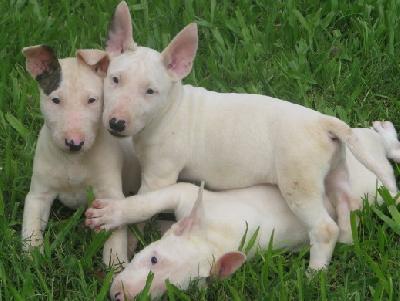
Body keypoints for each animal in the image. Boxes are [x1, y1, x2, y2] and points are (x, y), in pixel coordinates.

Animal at [21, 44, 141, 264]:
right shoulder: (38, 195)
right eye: (56, 100)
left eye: (92, 100)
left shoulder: (110, 194)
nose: (74, 143)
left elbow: (115, 230)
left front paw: (116, 264)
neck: (74, 160)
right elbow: (31, 224)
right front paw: (33, 256)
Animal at [86, 121, 400, 298]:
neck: (215, 237)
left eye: (171, 289)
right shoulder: (184, 195)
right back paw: (385, 131)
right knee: (382, 148)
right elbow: (146, 203)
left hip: (375, 189)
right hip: (356, 146)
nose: (120, 296)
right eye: (153, 259)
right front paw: (111, 216)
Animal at [99, 1, 396, 270]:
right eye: (114, 79)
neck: (170, 110)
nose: (116, 123)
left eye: (150, 91)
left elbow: (140, 204)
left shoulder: (159, 176)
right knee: (348, 207)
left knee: (325, 228)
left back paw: (315, 273)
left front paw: (122, 238)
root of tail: (324, 122)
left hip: (300, 182)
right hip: (335, 171)